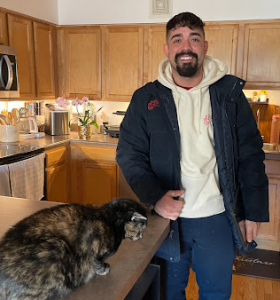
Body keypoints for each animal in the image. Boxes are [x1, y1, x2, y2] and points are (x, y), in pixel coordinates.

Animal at [0, 198, 149, 298]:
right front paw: (103, 269)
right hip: (57, 248)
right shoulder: (93, 245)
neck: (109, 218)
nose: (141, 237)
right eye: (141, 230)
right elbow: (95, 261)